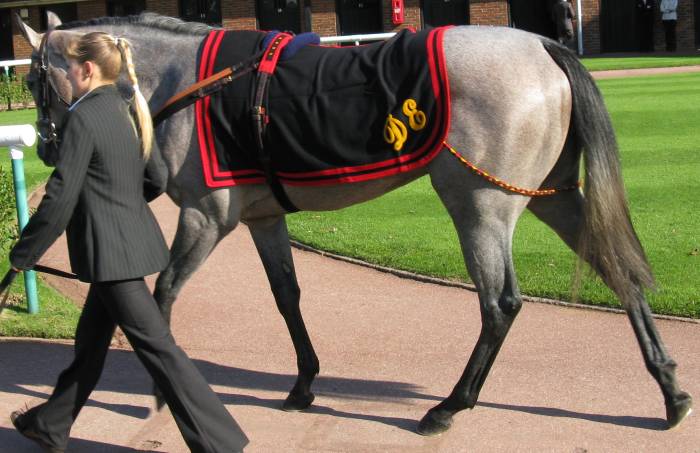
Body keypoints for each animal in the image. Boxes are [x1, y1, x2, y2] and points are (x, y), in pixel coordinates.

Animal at [15, 12, 692, 435]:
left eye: (32, 77)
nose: (47, 146)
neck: (192, 81)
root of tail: (544, 46)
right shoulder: (262, 216)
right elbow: (286, 296)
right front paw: (303, 384)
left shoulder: (206, 217)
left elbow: (163, 292)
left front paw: (160, 392)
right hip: (552, 195)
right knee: (620, 273)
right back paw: (671, 392)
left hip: (478, 202)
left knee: (500, 304)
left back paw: (449, 407)